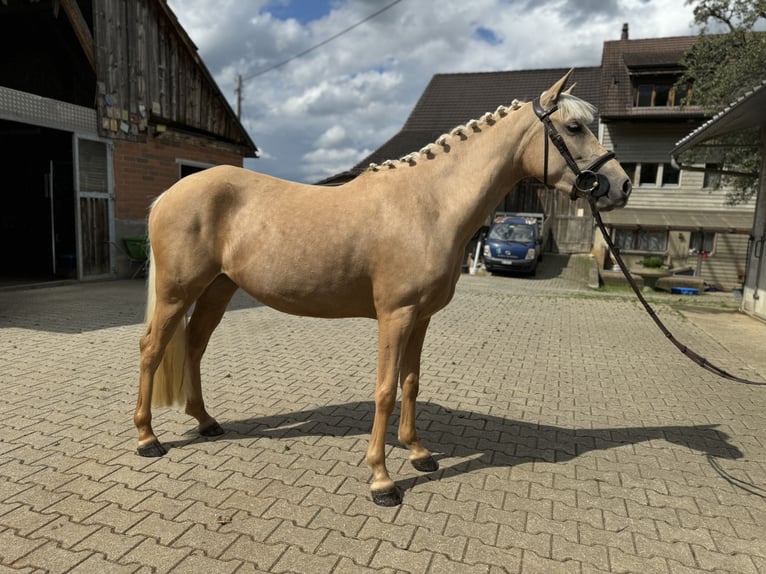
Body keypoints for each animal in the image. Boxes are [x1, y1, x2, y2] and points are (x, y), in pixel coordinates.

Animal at [134, 70, 636, 506]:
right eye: (573, 126)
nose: (622, 185)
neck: (430, 205)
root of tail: (168, 195)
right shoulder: (396, 315)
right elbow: (385, 391)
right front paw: (381, 480)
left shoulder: (421, 317)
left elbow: (410, 383)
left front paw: (419, 454)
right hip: (178, 293)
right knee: (153, 349)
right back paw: (147, 438)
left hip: (217, 289)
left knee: (194, 346)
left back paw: (205, 422)